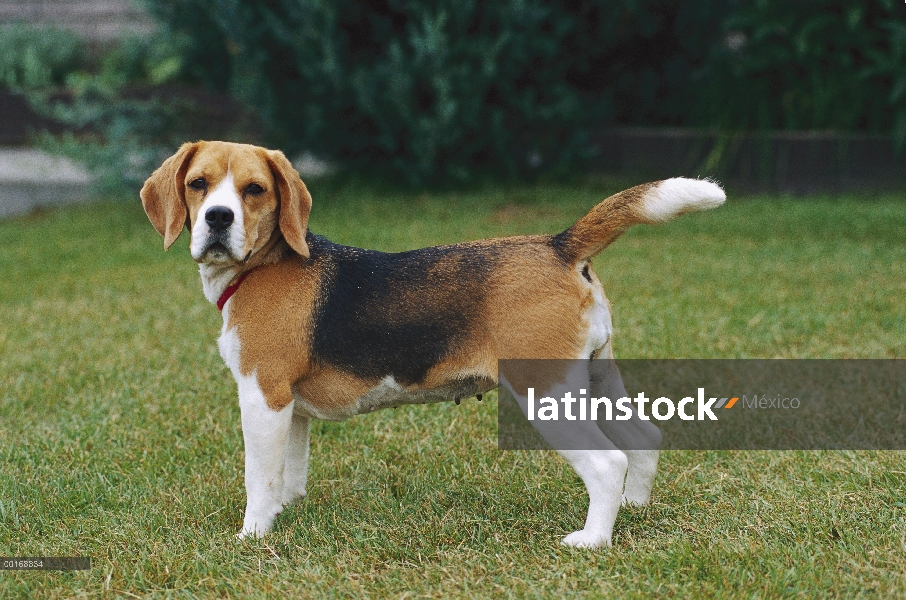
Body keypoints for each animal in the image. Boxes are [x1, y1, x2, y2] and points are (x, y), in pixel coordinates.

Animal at [139, 141, 720, 548]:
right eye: (198, 184)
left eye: (254, 190)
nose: (217, 218)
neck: (265, 263)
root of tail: (560, 245)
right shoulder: (290, 408)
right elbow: (289, 474)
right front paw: (286, 515)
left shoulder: (262, 395)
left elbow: (258, 478)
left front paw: (253, 535)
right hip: (596, 377)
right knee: (644, 436)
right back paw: (634, 510)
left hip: (547, 393)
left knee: (606, 463)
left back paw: (593, 540)